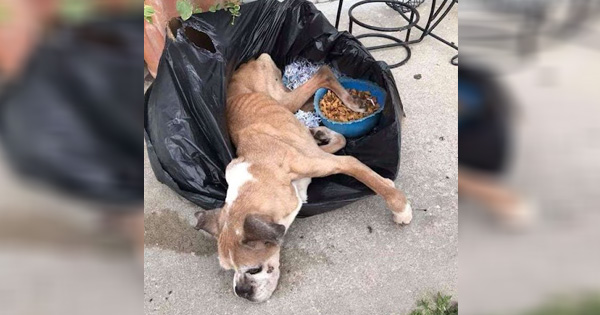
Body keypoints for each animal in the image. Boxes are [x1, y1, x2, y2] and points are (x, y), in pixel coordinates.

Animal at [195, 54, 410, 304]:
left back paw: (352, 101)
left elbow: (365, 174)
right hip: (286, 100)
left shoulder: (336, 162)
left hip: (282, 98)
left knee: (323, 74)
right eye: (230, 270)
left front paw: (400, 208)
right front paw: (322, 134)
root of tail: (245, 64)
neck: (262, 173)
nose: (241, 292)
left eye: (253, 269)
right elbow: (340, 142)